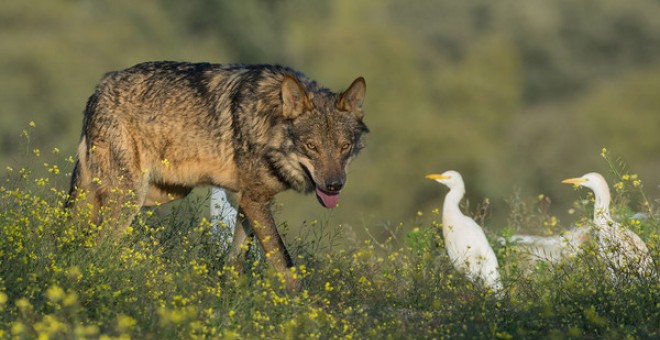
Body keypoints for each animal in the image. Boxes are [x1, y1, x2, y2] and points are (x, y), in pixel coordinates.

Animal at [69, 61, 368, 290]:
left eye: (344, 147)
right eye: (311, 147)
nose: (334, 185)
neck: (268, 120)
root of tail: (99, 89)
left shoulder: (248, 201)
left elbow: (236, 260)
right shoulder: (256, 201)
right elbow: (285, 264)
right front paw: (303, 311)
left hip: (160, 193)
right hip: (131, 196)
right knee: (97, 246)